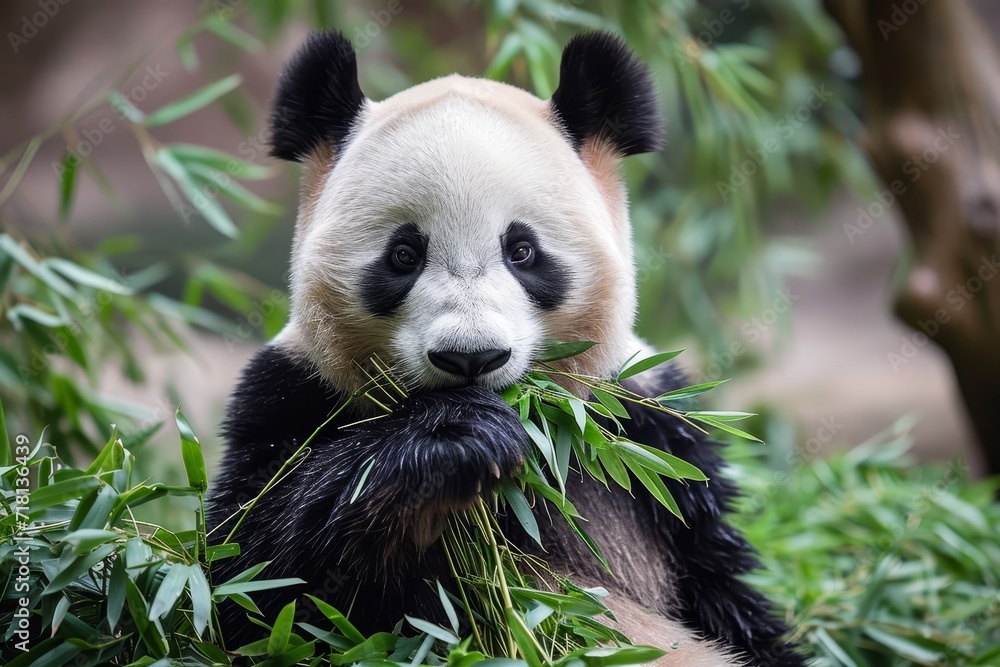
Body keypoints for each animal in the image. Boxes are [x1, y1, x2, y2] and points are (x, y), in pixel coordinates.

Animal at [206, 30, 804, 667]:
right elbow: (253, 581)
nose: (471, 357)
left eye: (522, 251)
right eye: (403, 255)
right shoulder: (291, 392)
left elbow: (718, 580)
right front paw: (457, 436)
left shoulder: (646, 431)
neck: (539, 430)